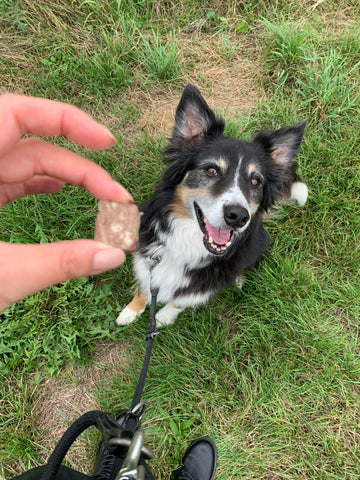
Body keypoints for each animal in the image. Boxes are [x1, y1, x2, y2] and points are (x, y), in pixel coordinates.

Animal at [116, 84, 308, 328]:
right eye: (211, 170)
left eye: (255, 181)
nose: (238, 216)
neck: (188, 244)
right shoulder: (148, 259)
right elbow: (143, 289)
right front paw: (131, 311)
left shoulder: (201, 287)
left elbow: (179, 303)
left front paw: (162, 319)